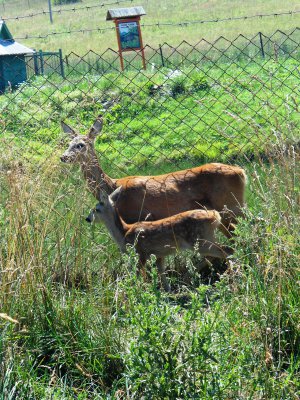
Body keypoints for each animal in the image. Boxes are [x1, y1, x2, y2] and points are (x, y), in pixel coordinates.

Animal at [60, 115, 246, 234]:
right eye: (68, 144)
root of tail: (242, 172)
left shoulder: (136, 216)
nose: (63, 157)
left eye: (81, 145)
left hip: (229, 206)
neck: (112, 186)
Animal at [85, 188, 233, 290]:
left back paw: (229, 276)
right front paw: (167, 291)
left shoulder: (141, 252)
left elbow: (138, 274)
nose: (87, 219)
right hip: (205, 239)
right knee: (222, 251)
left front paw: (136, 289)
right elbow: (161, 272)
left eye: (96, 209)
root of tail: (215, 216)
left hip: (199, 240)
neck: (124, 232)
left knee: (226, 250)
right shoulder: (159, 254)